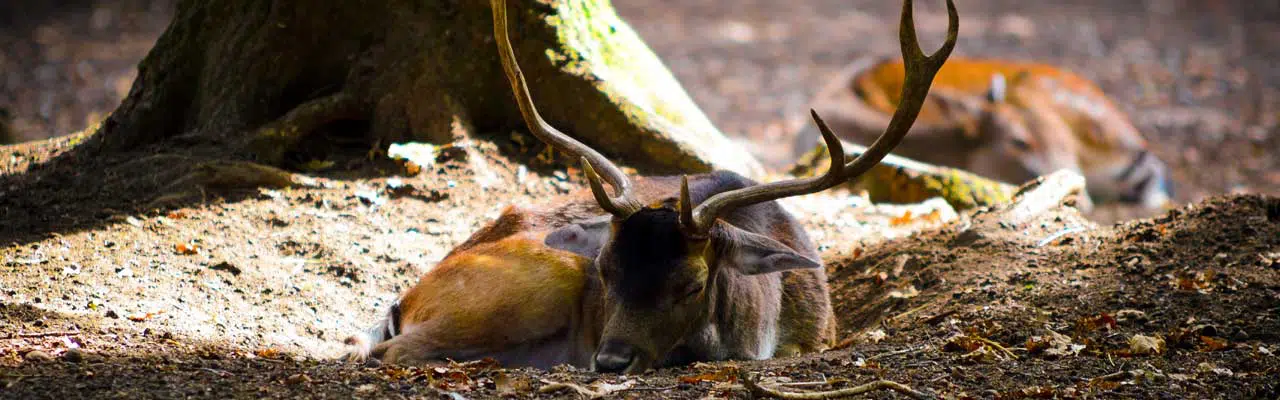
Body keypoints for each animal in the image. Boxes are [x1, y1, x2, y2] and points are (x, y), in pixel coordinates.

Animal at [345, 0, 957, 374]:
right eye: (605, 270)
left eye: (692, 284)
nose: (610, 360)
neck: (763, 329)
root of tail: (405, 299)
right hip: (540, 276)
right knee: (390, 351)